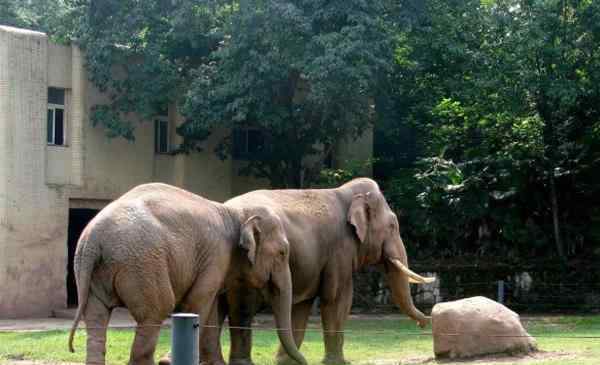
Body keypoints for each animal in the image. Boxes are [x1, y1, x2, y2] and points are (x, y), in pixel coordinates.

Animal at [68, 183, 308, 364]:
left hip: (94, 271)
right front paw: (168, 361)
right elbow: (197, 303)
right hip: (143, 264)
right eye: (282, 252)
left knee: (96, 317)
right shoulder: (216, 255)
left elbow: (211, 311)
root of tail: (93, 238)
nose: (303, 361)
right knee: (156, 310)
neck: (235, 213)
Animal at [199, 178, 434, 364]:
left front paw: (286, 362)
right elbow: (337, 299)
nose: (425, 323)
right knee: (242, 310)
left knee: (218, 310)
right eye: (393, 226)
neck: (345, 193)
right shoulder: (340, 250)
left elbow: (302, 305)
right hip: (246, 269)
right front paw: (337, 362)